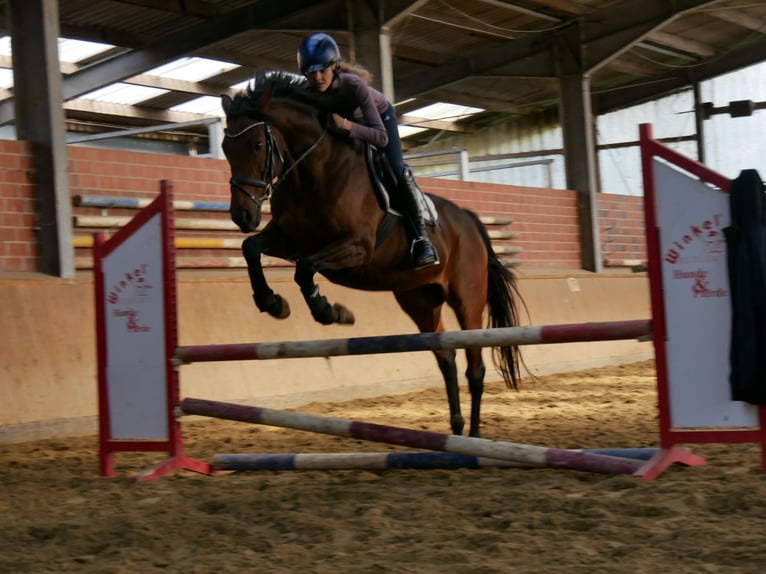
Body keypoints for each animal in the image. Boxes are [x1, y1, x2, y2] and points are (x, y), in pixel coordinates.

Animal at [219, 71, 524, 440]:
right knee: (446, 356)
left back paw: (475, 437)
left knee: (474, 367)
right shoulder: (290, 239)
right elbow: (252, 249)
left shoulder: (356, 247)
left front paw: (331, 311)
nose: (242, 216)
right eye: (225, 148)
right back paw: (454, 431)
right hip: (419, 300)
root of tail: (468, 220)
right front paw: (272, 303)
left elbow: (304, 269)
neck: (313, 170)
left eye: (257, 145)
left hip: (468, 299)